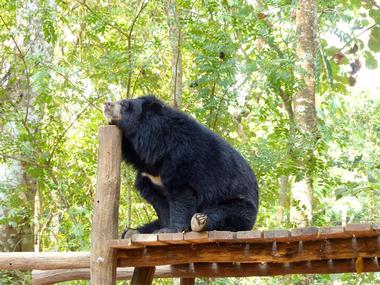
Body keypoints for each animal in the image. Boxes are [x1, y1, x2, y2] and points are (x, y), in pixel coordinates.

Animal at [103, 95, 258, 233]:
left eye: (124, 104)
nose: (107, 104)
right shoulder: (149, 177)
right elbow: (161, 204)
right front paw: (163, 227)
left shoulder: (181, 158)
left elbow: (182, 196)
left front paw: (170, 229)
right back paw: (133, 231)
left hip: (239, 204)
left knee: (222, 213)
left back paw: (199, 221)